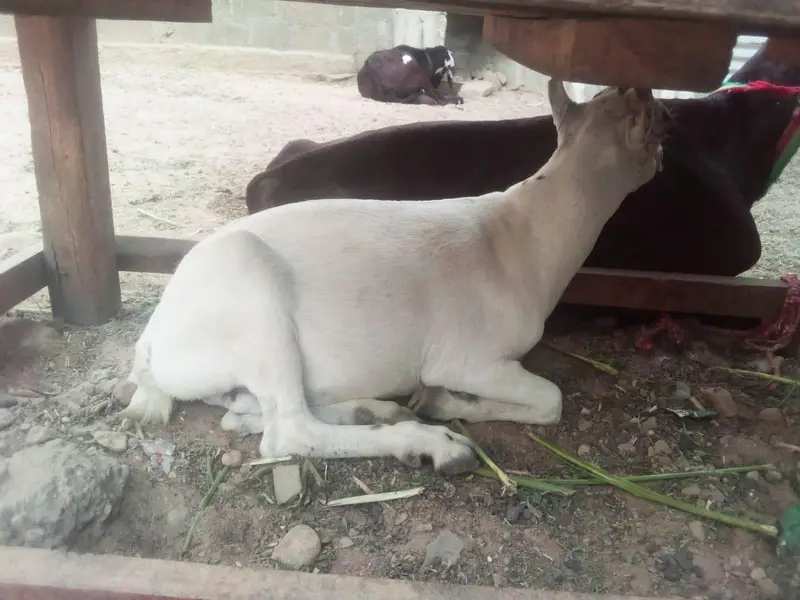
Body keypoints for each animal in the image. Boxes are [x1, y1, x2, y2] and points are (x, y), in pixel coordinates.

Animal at [119, 80, 669, 474]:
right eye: (656, 136)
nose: (663, 159)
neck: (522, 234)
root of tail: (149, 347)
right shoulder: (470, 357)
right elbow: (551, 398)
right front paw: (445, 401)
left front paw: (434, 403)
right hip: (253, 301)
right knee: (288, 432)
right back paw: (434, 445)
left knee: (246, 412)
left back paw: (382, 412)